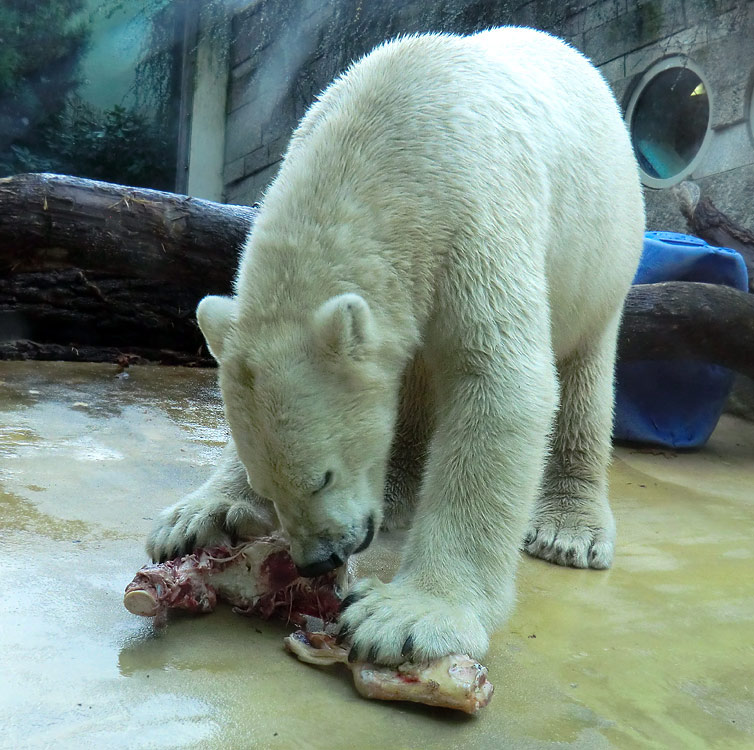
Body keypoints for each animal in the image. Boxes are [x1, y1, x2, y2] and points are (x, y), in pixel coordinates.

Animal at [145, 26, 640, 668]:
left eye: (322, 478)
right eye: (268, 486)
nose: (320, 560)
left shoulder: (478, 215)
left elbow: (500, 385)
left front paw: (409, 614)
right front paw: (195, 517)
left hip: (603, 251)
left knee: (585, 370)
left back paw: (568, 529)